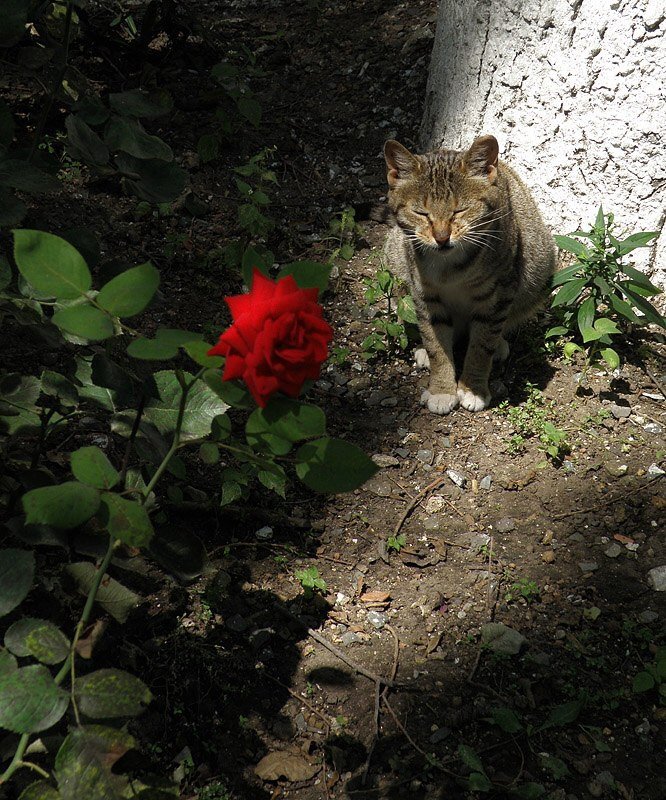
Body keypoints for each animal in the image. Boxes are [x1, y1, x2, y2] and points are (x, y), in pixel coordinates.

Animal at [382, 133, 552, 412]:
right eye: (421, 213)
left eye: (460, 210)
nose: (441, 237)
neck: (449, 267)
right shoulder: (425, 296)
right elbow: (437, 346)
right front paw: (441, 389)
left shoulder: (497, 297)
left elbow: (481, 346)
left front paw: (473, 388)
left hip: (540, 272)